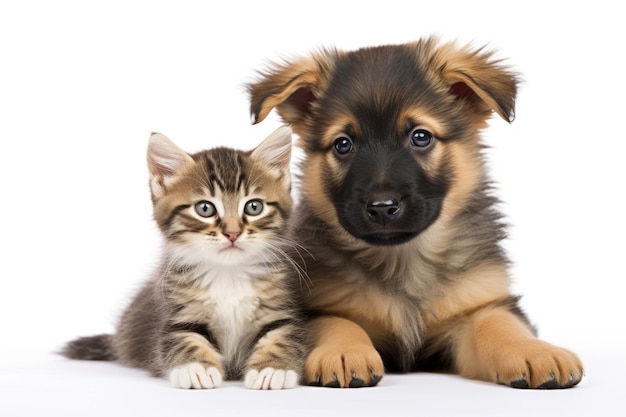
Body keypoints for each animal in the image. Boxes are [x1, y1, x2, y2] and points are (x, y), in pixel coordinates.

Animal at [62, 125, 306, 388]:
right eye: (205, 208)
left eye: (254, 207)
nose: (232, 233)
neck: (228, 274)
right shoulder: (177, 314)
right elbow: (183, 339)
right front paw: (196, 368)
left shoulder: (279, 308)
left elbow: (281, 336)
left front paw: (271, 369)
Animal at [246, 36, 584, 386]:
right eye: (342, 144)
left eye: (420, 136)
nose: (382, 207)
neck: (404, 258)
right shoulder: (317, 306)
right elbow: (337, 322)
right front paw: (343, 351)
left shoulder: (477, 305)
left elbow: (498, 324)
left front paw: (534, 350)